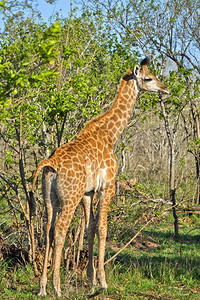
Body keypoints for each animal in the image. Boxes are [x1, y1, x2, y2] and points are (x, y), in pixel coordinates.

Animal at [30, 57, 170, 296]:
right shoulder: (108, 186)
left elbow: (90, 228)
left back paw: (42, 287)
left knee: (48, 230)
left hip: (50, 199)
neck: (110, 135)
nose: (165, 89)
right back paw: (57, 287)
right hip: (70, 198)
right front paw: (102, 282)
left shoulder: (88, 193)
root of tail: (49, 165)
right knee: (60, 230)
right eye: (149, 78)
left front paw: (91, 280)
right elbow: (103, 228)